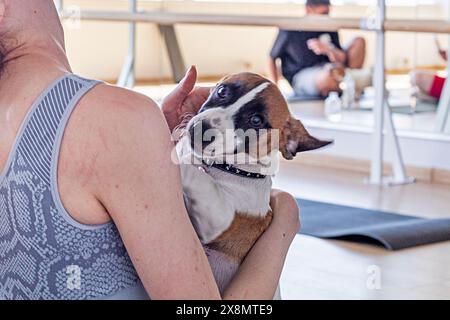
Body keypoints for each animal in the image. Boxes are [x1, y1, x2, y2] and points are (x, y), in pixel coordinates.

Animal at [178, 72, 332, 296]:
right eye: (222, 91)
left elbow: (196, 176)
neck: (227, 168)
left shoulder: (218, 220)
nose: (200, 130)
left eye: (256, 120)